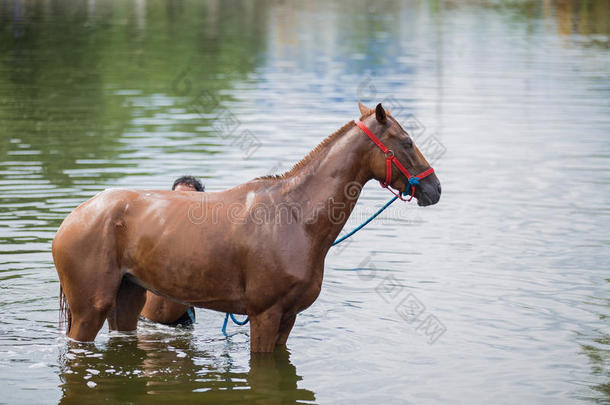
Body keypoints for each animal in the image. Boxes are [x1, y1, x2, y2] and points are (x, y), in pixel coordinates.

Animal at [51, 102, 436, 352]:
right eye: (407, 142)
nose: (435, 188)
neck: (295, 217)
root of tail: (73, 218)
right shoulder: (264, 315)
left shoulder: (287, 318)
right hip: (88, 310)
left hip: (127, 298)